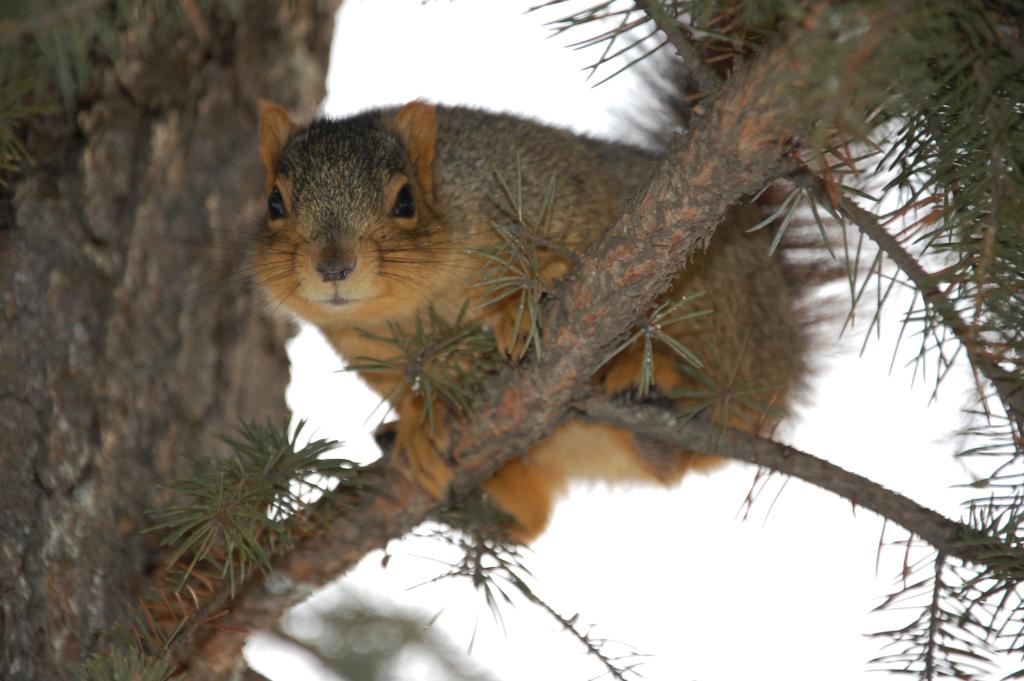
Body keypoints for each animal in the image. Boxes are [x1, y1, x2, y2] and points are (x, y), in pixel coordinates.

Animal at [254, 98, 812, 543]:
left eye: (405, 199)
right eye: (274, 202)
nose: (333, 266)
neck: (420, 301)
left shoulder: (544, 188)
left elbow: (571, 248)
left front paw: (517, 312)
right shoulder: (365, 345)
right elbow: (408, 384)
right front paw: (421, 425)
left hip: (719, 308)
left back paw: (645, 374)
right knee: (533, 521)